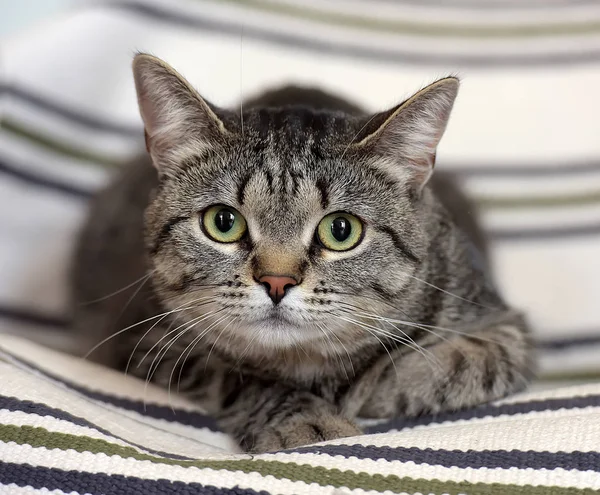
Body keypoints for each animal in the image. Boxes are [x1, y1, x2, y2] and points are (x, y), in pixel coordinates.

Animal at [71, 53, 536, 454]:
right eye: (223, 222)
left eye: (341, 230)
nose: (277, 281)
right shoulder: (143, 342)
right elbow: (245, 379)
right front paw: (310, 419)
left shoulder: (502, 324)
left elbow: (461, 363)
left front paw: (375, 384)